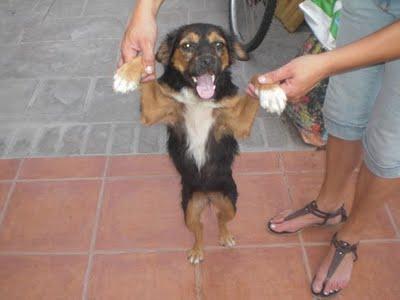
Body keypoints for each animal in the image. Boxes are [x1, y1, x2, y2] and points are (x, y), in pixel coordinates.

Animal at [113, 23, 288, 262]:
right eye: (187, 45)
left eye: (219, 45)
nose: (207, 60)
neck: (199, 99)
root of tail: (207, 195)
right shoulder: (153, 112)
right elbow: (144, 61)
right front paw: (127, 73)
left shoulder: (238, 124)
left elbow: (256, 77)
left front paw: (272, 92)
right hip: (189, 208)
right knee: (200, 228)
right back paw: (197, 250)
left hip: (230, 200)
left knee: (222, 218)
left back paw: (225, 236)